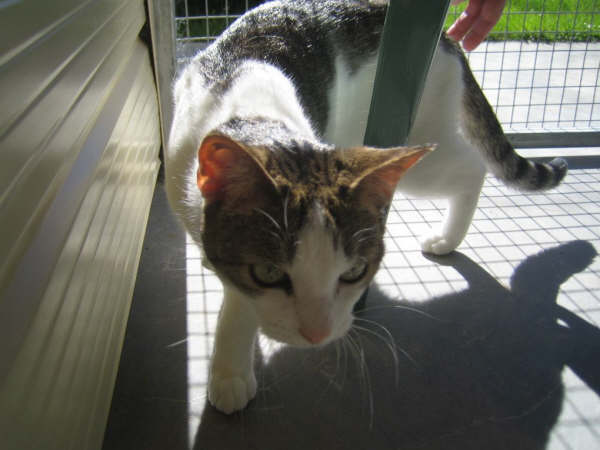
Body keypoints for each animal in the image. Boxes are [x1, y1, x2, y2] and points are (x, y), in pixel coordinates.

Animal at [166, 0, 567, 414]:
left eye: (353, 272)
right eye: (269, 271)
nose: (317, 334)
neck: (251, 113)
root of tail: (447, 38)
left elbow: (240, 300)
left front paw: (229, 367)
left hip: (422, 150)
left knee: (473, 167)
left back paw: (447, 237)